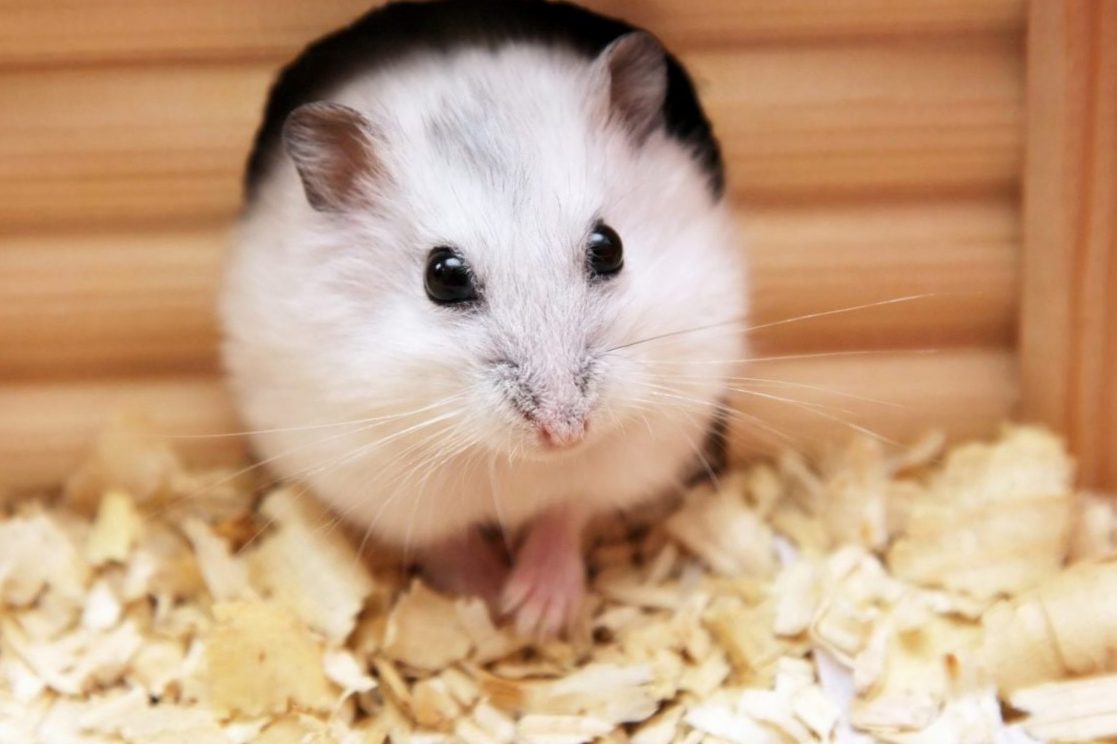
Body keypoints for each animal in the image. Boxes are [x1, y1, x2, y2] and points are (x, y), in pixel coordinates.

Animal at [220, 0, 747, 635]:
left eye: (610, 246)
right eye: (443, 276)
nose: (565, 433)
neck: (515, 462)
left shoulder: (622, 457)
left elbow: (565, 512)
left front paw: (536, 615)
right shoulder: (382, 481)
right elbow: (448, 543)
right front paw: (491, 602)